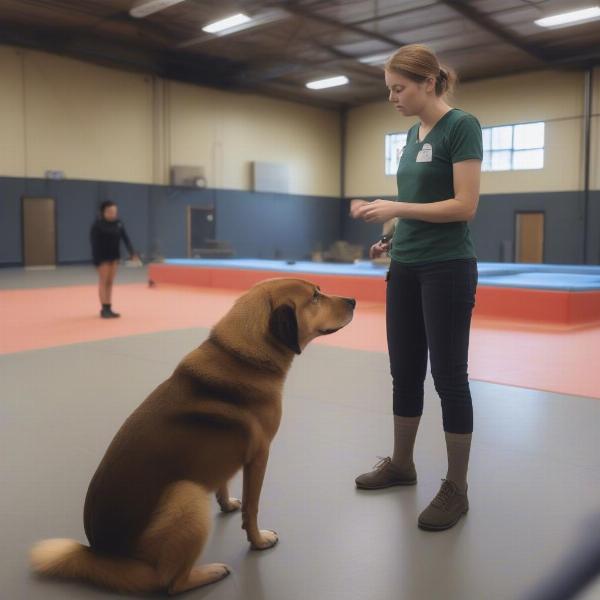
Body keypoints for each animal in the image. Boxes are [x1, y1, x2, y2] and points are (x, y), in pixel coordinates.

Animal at [29, 278, 356, 596]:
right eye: (315, 297)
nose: (353, 300)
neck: (242, 357)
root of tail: (101, 553)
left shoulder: (225, 456)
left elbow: (224, 483)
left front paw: (226, 504)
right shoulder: (259, 457)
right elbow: (252, 509)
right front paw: (258, 541)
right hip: (187, 496)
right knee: (170, 583)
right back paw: (209, 572)